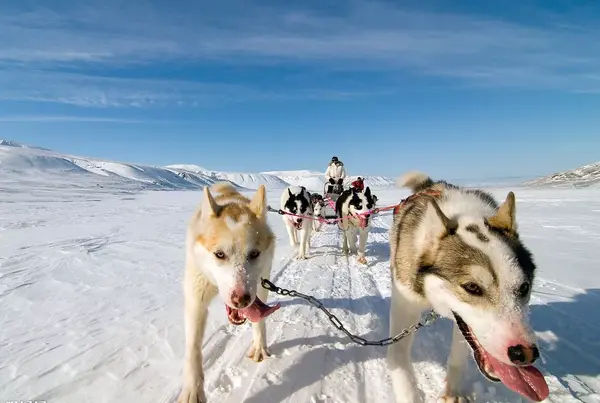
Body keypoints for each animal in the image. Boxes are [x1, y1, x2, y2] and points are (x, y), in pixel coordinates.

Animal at [178, 184, 282, 403]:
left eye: (254, 254)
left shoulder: (260, 287)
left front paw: (259, 346)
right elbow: (193, 348)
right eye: (219, 254)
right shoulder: (196, 298)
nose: (241, 299)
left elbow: (259, 321)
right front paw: (192, 390)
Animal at [390, 173, 548, 403]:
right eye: (472, 287)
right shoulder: (405, 306)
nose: (525, 354)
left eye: (524, 287)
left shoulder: (464, 324)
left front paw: (452, 393)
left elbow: (458, 357)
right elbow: (399, 363)